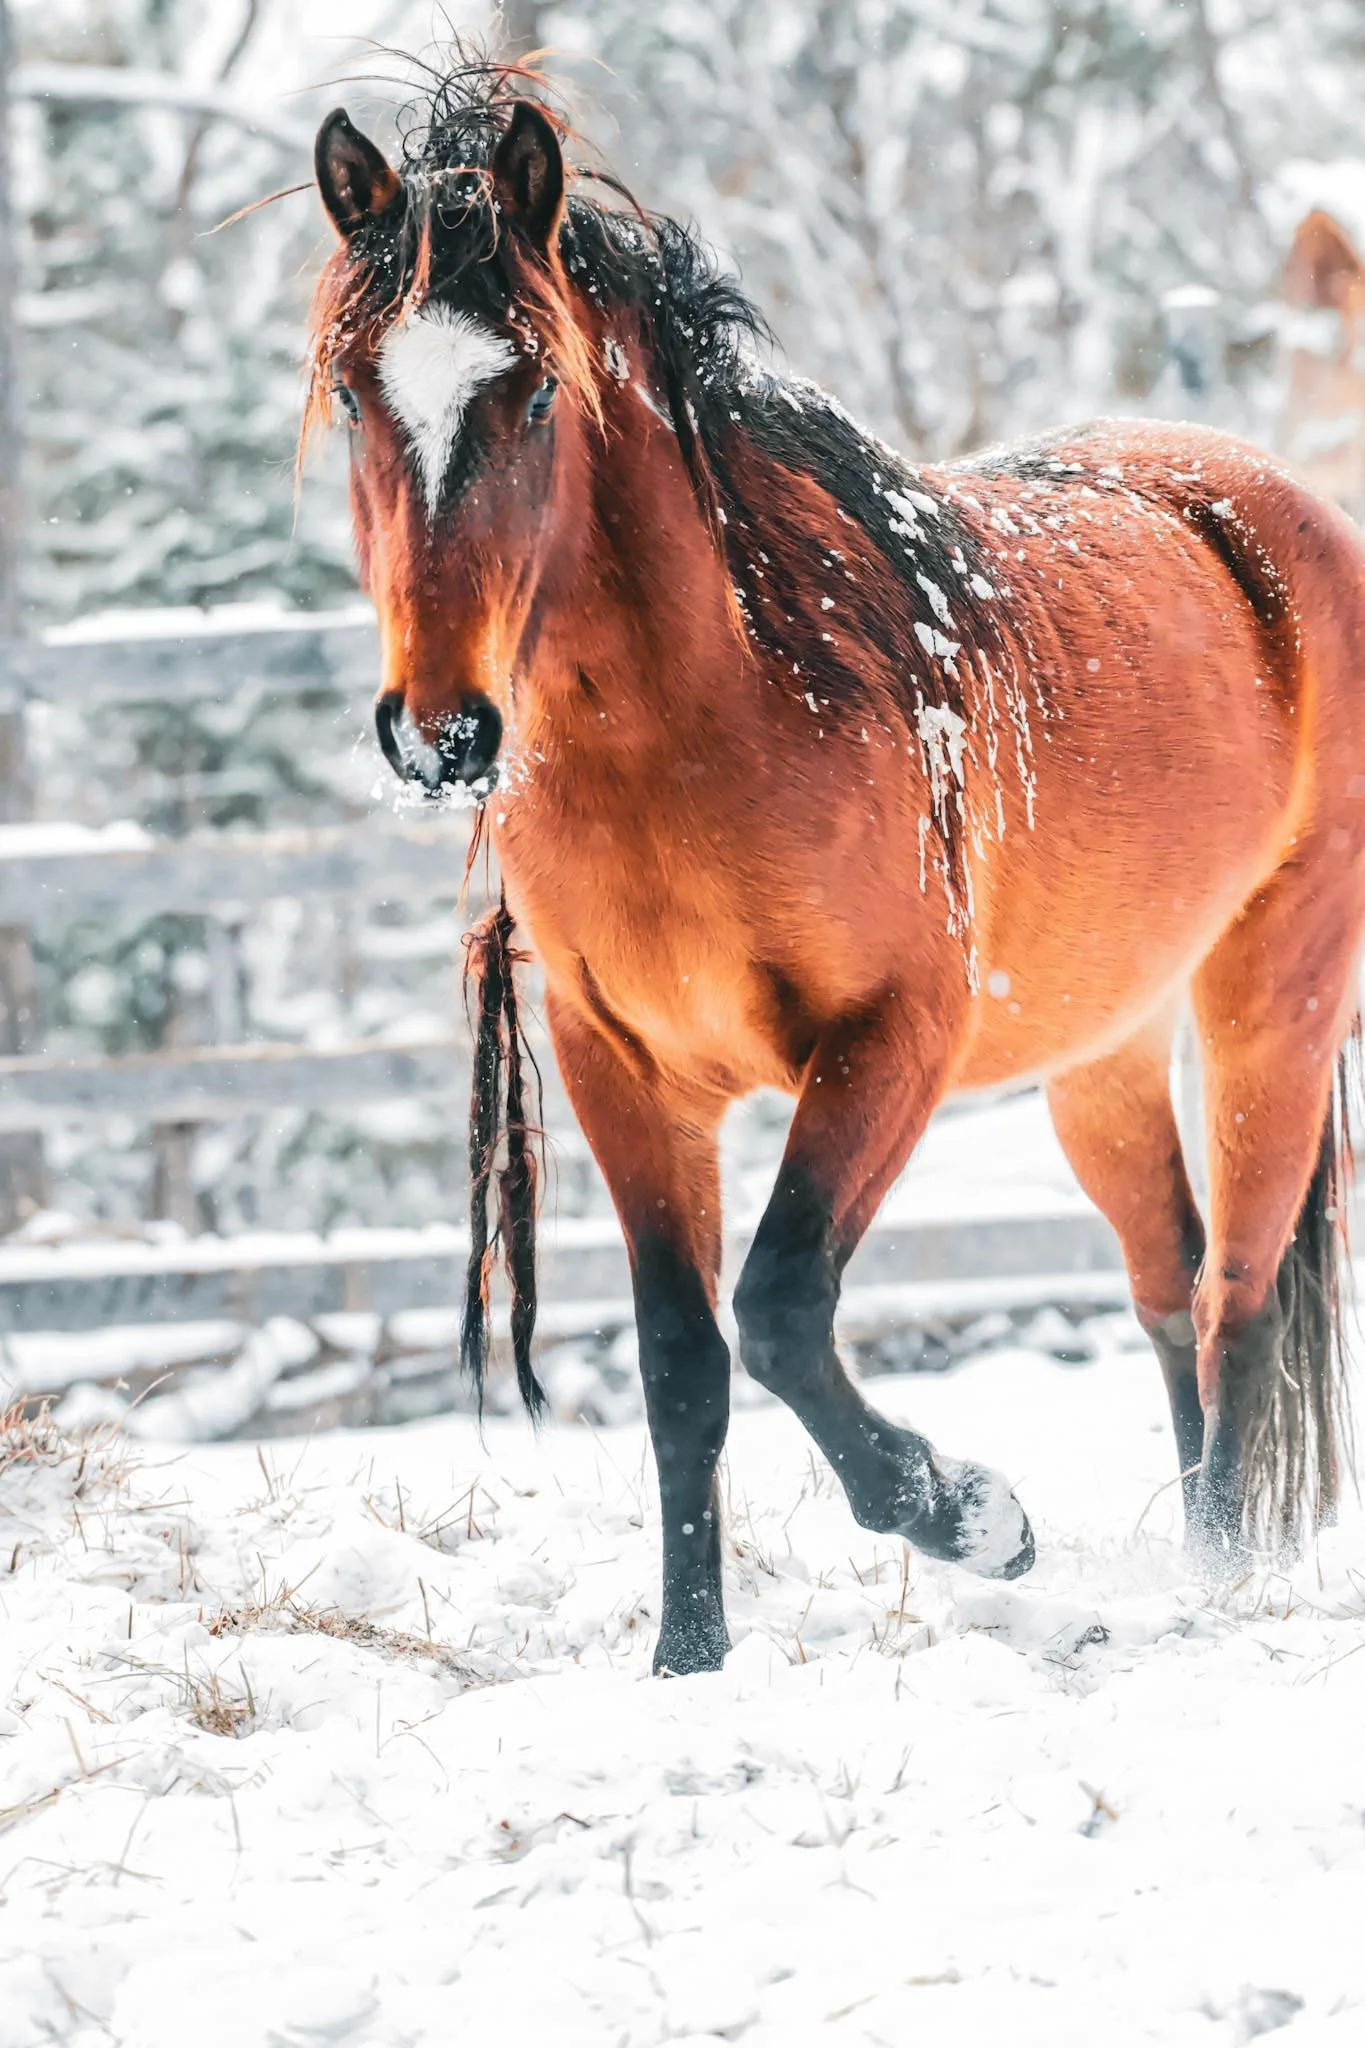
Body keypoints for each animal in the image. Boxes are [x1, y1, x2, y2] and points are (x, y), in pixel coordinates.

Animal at [305, 62, 1363, 1676]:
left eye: (536, 389)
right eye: (360, 392)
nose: (440, 731)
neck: (723, 719)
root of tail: (1262, 502)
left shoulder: (890, 1044)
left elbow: (783, 1306)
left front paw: (974, 1515)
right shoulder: (621, 1068)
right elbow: (683, 1360)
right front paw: (688, 1658)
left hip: (1273, 1002)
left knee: (1235, 1288)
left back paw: (1220, 1581)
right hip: (1103, 1050)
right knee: (1166, 1280)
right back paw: (1191, 1556)